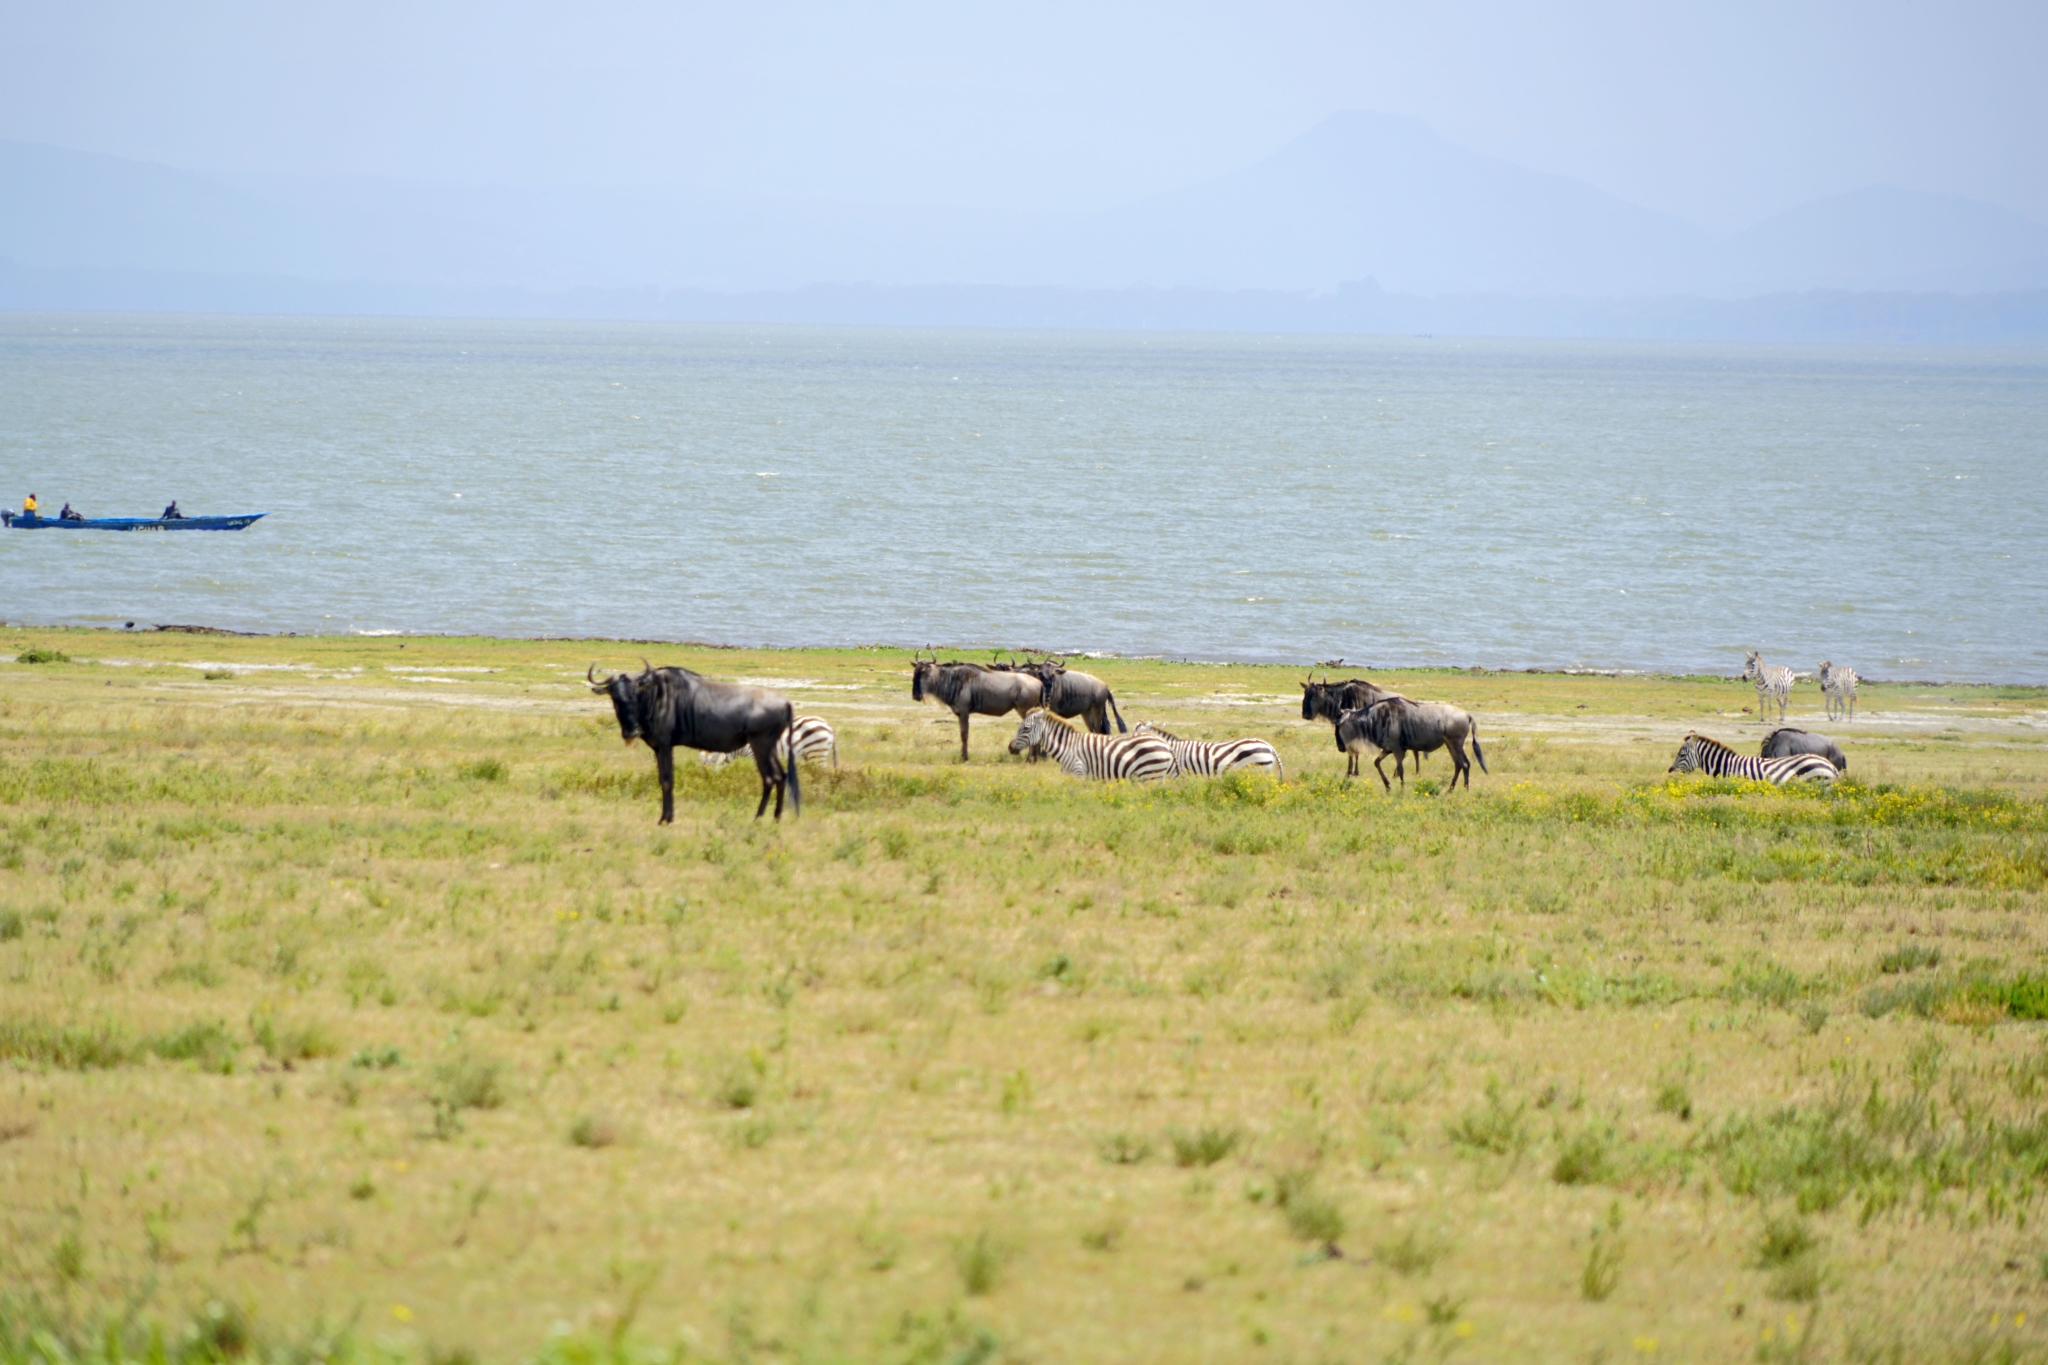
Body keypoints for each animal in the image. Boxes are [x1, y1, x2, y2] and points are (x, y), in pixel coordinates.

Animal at [1003, 712, 1171, 785]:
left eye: (1026, 728)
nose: (1010, 747)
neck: (1067, 747)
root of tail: (1165, 744)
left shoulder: (1079, 773)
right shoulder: (1069, 775)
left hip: (1151, 776)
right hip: (1155, 776)